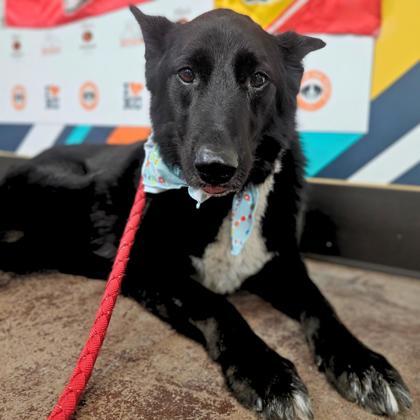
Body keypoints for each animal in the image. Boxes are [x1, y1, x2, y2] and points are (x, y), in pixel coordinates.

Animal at [0, 7, 412, 420]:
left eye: (258, 79)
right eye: (186, 73)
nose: (216, 168)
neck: (225, 206)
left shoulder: (283, 265)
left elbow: (322, 305)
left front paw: (363, 363)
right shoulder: (153, 269)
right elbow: (218, 304)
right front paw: (267, 372)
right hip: (75, 186)